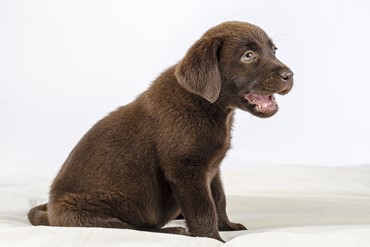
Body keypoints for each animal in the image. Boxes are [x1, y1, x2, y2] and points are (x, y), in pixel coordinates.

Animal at [28, 21, 294, 241]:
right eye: (248, 56)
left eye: (274, 50)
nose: (290, 75)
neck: (207, 106)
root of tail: (50, 214)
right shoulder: (186, 170)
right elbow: (204, 208)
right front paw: (212, 239)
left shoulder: (212, 168)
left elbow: (219, 198)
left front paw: (227, 226)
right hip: (88, 211)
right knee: (136, 227)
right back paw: (174, 230)